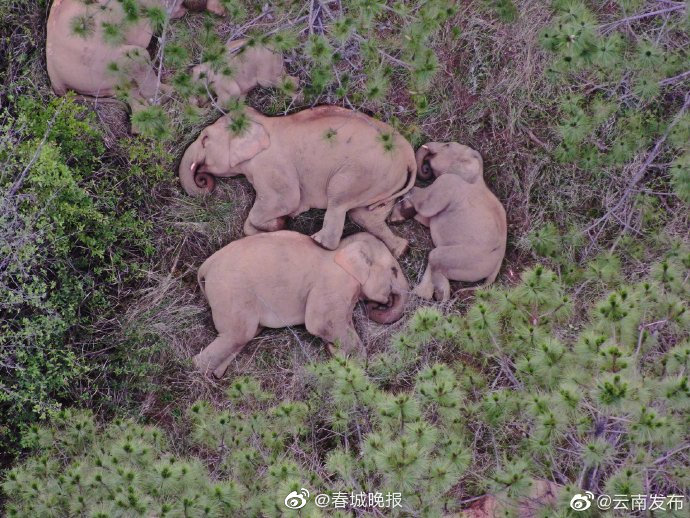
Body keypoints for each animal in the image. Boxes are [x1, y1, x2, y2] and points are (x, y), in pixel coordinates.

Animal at [179, 105, 417, 256]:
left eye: (205, 139)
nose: (203, 179)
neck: (263, 122)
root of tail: (409, 156)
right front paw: (278, 225)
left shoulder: (272, 166)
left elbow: (286, 200)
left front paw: (281, 221)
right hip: (384, 181)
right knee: (364, 215)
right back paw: (401, 249)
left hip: (362, 172)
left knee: (339, 199)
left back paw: (316, 241)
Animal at [193, 231, 410, 378]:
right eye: (394, 270)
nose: (379, 304)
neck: (343, 248)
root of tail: (206, 266)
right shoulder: (334, 282)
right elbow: (321, 323)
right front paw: (356, 366)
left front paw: (337, 353)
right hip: (230, 292)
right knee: (238, 334)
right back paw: (196, 369)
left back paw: (216, 374)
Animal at [390, 142, 507, 301]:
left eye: (447, 145)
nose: (426, 167)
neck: (477, 176)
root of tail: (496, 268)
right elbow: (426, 219)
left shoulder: (447, 183)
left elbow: (425, 205)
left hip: (466, 258)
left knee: (434, 256)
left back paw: (439, 295)